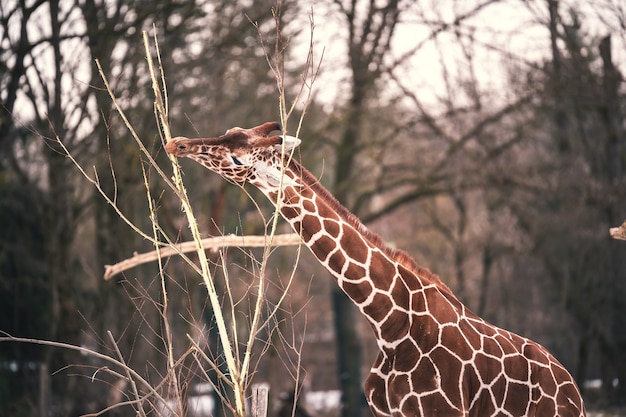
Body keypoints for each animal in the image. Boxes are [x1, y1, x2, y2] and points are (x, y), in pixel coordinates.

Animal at [163, 121, 584, 416]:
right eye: (230, 131)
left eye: (238, 158)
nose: (177, 143)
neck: (389, 323)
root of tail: (574, 389)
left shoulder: (442, 411)